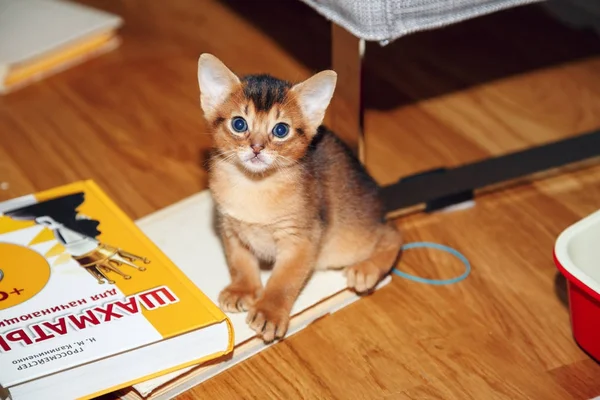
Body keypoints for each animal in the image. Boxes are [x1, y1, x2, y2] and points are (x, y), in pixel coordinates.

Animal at [197, 52, 404, 340]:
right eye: (239, 124)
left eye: (281, 130)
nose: (257, 148)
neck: (254, 186)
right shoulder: (229, 227)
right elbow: (240, 262)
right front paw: (243, 289)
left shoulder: (302, 238)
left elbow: (284, 279)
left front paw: (269, 312)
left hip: (348, 238)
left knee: (393, 233)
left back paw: (366, 269)